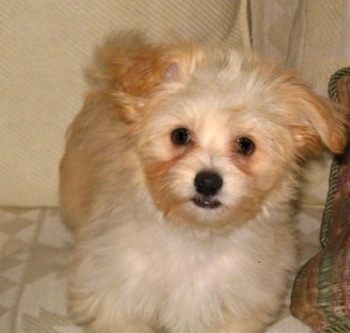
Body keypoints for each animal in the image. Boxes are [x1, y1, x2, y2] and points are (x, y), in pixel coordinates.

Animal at [59, 31, 348, 332]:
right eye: (180, 135)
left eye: (246, 145)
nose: (207, 182)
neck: (197, 237)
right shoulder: (115, 299)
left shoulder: (240, 309)